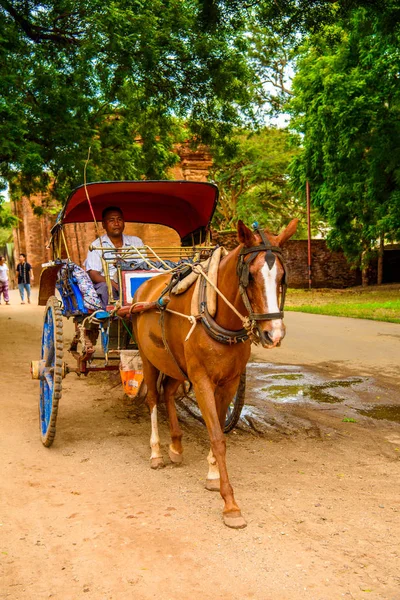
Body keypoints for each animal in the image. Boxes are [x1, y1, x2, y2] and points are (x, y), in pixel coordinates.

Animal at [131, 218, 296, 528]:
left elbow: (218, 427)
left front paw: (211, 474)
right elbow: (218, 438)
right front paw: (230, 504)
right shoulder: (202, 381)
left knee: (168, 393)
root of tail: (145, 286)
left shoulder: (229, 382)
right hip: (149, 359)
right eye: (250, 277)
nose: (274, 334)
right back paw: (157, 451)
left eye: (282, 277)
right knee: (153, 399)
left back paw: (176, 447)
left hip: (174, 362)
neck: (220, 316)